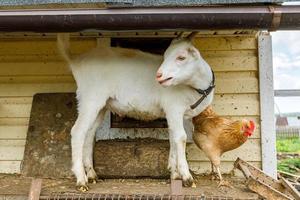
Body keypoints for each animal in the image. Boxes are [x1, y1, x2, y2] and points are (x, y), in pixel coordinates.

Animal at [57, 32, 214, 191]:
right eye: (165, 56)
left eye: (181, 57)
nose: (159, 75)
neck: (196, 87)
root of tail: (76, 62)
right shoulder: (174, 108)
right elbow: (181, 138)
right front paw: (187, 177)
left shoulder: (174, 113)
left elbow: (173, 138)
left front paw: (174, 174)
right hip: (90, 98)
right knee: (78, 131)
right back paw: (81, 180)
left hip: (100, 105)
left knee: (89, 133)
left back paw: (91, 175)